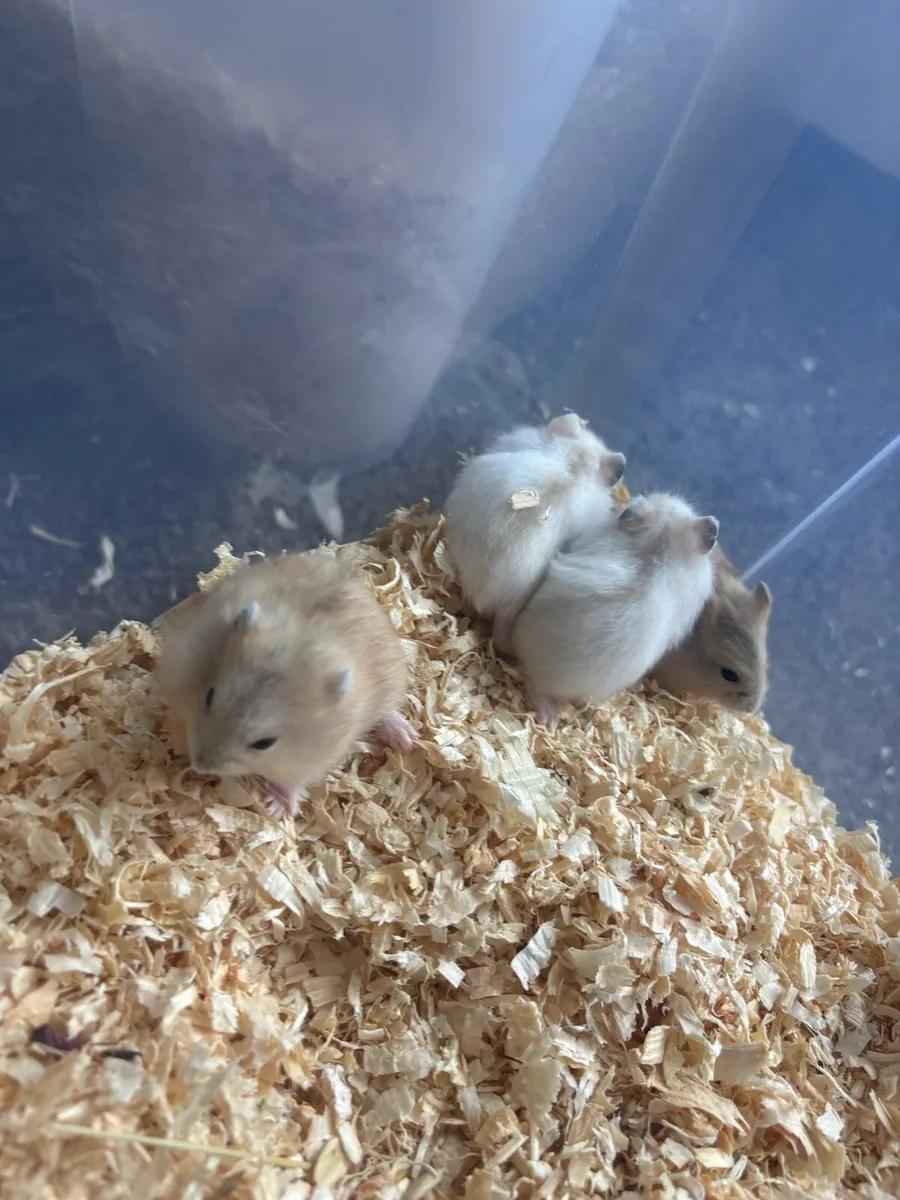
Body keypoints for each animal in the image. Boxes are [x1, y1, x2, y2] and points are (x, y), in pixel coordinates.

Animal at [155, 551, 415, 818]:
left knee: (387, 711)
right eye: (208, 696)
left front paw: (275, 811)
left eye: (264, 744)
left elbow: (292, 783)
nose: (199, 766)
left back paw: (406, 738)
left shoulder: (307, 761)